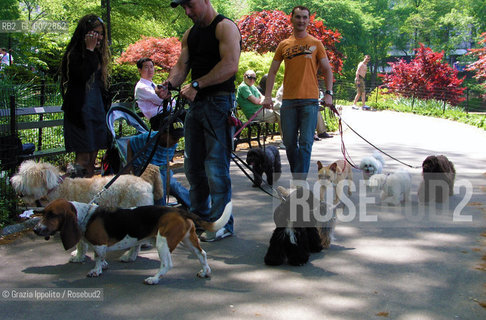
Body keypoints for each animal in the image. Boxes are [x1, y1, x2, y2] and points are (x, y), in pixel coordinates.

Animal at [33, 200, 232, 284]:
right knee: (202, 254)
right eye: (43, 213)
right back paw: (205, 272)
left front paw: (96, 270)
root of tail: (179, 210)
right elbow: (100, 257)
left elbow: (97, 257)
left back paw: (154, 279)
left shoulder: (99, 244)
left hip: (163, 242)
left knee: (167, 264)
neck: (86, 215)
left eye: (52, 214)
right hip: (186, 240)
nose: (35, 229)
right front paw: (103, 266)